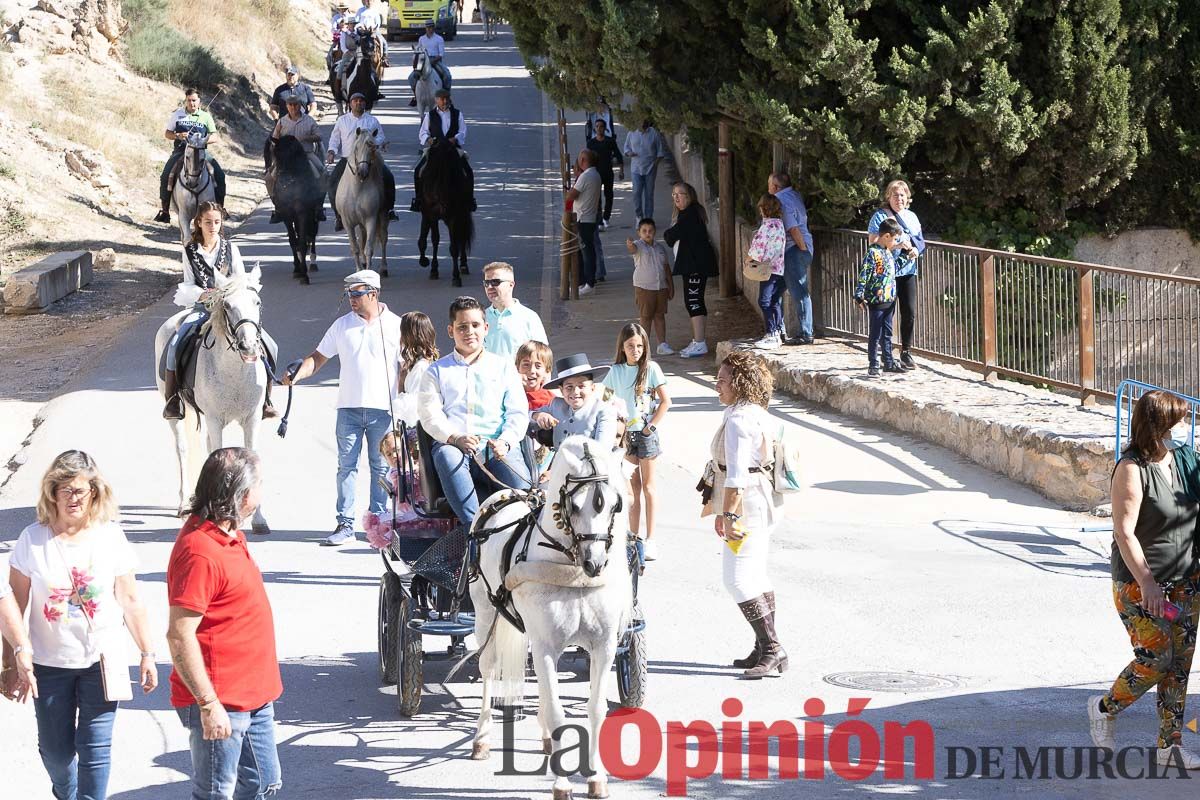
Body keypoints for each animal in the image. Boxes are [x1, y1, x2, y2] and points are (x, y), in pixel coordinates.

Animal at [152, 272, 272, 534]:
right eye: (227, 306)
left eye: (257, 302)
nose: (249, 346)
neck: (235, 372)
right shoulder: (215, 419)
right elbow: (218, 455)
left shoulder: (253, 419)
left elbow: (252, 457)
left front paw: (259, 519)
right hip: (176, 413)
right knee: (182, 448)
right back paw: (183, 503)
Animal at [333, 131, 388, 278]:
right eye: (356, 148)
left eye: (372, 148)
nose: (362, 172)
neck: (357, 188)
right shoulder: (348, 222)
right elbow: (355, 247)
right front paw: (359, 271)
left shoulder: (371, 219)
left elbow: (369, 248)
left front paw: (368, 271)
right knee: (362, 240)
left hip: (383, 216)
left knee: (383, 239)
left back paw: (384, 268)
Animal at [374, 422, 648, 714]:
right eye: (573, 505)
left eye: (616, 504)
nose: (594, 562)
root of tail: (502, 495)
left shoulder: (604, 635)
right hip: (480, 604)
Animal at [470, 438, 633, 800]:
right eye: (574, 505)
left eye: (614, 504)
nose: (595, 563)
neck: (571, 570)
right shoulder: (546, 645)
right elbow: (559, 712)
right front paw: (561, 784)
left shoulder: (603, 646)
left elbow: (595, 708)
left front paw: (596, 777)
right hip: (485, 613)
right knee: (488, 668)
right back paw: (482, 738)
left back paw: (544, 739)